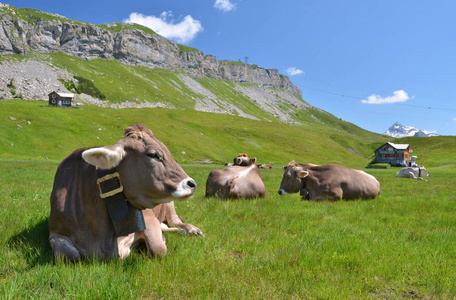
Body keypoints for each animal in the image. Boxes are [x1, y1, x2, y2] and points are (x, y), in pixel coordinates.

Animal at [48, 123, 203, 262]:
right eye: (153, 154)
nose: (192, 184)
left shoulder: (147, 217)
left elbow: (157, 249)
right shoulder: (55, 233)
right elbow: (69, 256)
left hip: (169, 204)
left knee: (175, 221)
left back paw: (192, 230)